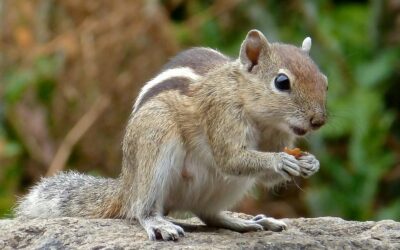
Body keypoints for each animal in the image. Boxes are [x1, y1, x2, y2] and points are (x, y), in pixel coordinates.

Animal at [16, 29, 328, 240]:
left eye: (324, 81)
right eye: (282, 82)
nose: (319, 120)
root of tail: (126, 184)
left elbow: (265, 176)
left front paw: (311, 163)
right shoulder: (221, 114)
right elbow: (230, 158)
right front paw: (280, 161)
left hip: (227, 187)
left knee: (208, 214)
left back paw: (247, 222)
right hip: (156, 140)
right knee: (141, 209)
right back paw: (158, 223)